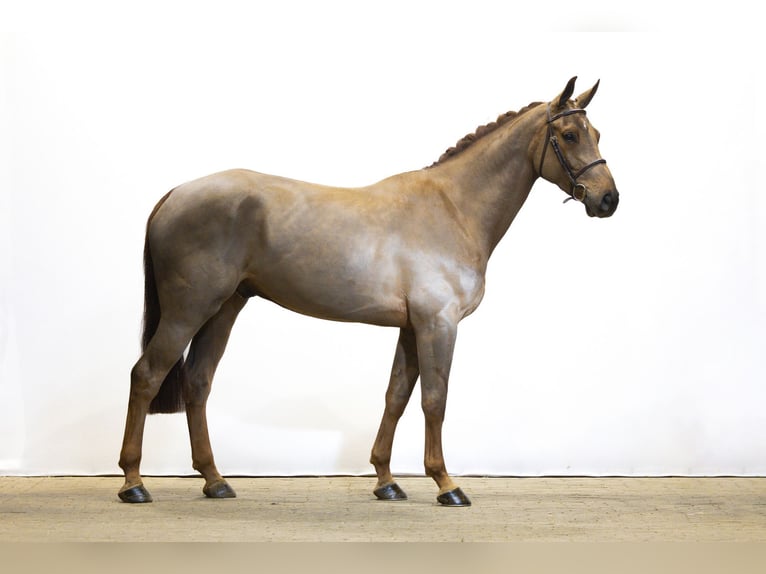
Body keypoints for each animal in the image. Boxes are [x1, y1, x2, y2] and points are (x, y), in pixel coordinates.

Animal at [118, 77, 619, 506]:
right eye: (569, 135)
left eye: (595, 132)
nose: (608, 199)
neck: (453, 208)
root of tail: (175, 194)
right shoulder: (438, 324)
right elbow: (434, 399)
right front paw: (446, 484)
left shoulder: (411, 327)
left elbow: (396, 396)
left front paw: (386, 481)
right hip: (188, 310)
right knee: (146, 375)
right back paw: (133, 482)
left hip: (223, 309)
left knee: (198, 383)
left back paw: (215, 480)